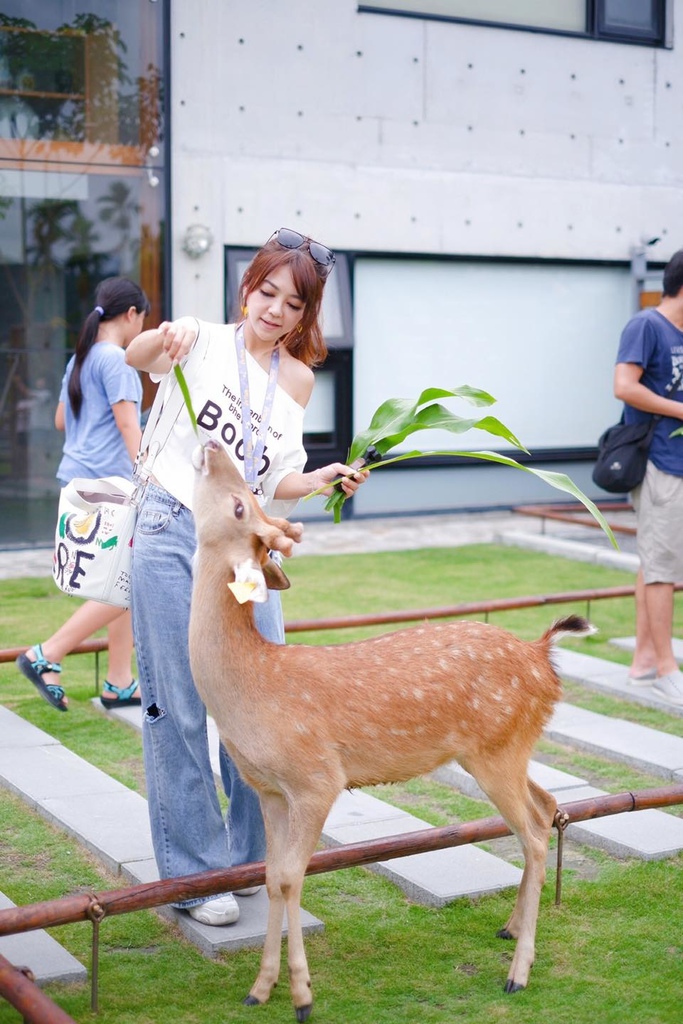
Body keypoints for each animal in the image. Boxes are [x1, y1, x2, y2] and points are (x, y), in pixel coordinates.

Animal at [188, 438, 593, 1015]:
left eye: (243, 503)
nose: (211, 444)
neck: (251, 688)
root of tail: (543, 657)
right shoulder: (267, 788)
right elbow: (270, 878)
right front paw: (260, 988)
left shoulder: (317, 777)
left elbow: (291, 877)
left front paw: (301, 994)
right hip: (507, 747)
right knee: (547, 806)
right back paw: (510, 927)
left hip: (497, 751)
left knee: (534, 833)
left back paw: (518, 973)